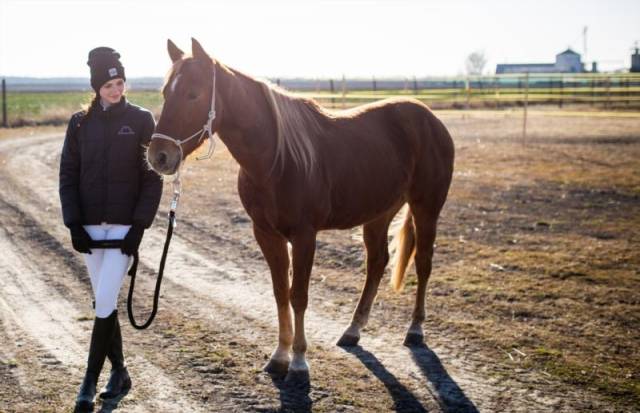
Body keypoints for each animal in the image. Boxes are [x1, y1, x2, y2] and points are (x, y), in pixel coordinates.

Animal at [146, 38, 455, 381]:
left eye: (193, 93)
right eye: (165, 92)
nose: (159, 156)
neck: (276, 160)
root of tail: (429, 117)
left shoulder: (305, 236)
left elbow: (299, 295)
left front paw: (298, 361)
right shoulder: (266, 234)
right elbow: (281, 291)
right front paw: (280, 356)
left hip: (426, 207)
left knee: (424, 263)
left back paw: (415, 330)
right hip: (379, 214)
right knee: (377, 262)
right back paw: (353, 330)